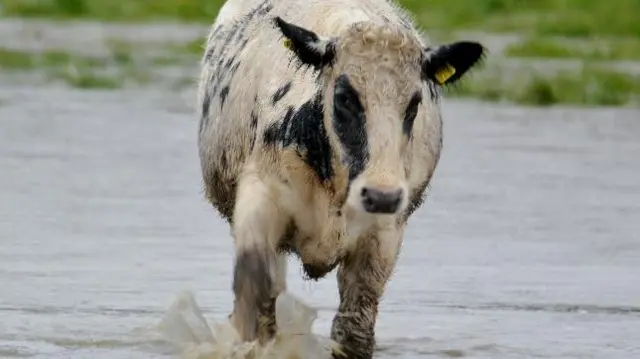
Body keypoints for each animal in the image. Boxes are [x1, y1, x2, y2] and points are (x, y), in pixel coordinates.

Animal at [196, 0, 484, 358]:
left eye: (414, 103)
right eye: (345, 97)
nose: (381, 195)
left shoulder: (383, 234)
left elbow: (353, 330)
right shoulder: (260, 198)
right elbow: (256, 309)